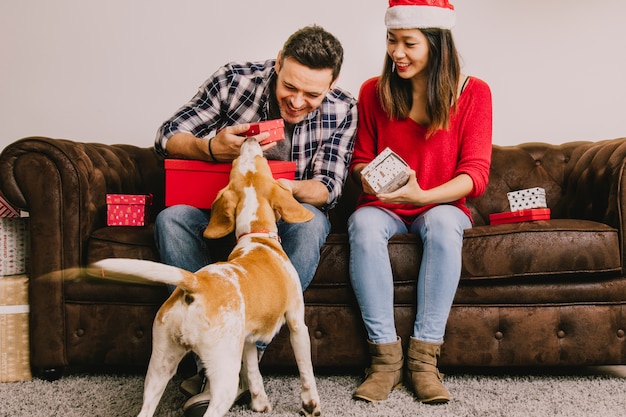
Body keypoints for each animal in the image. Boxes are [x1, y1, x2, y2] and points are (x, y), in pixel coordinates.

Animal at [95, 137, 320, 416]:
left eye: (240, 163)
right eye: (259, 161)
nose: (249, 139)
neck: (256, 236)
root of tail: (195, 283)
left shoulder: (247, 341)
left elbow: (253, 372)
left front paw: (259, 402)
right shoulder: (297, 324)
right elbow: (306, 370)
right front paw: (311, 404)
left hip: (160, 365)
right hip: (222, 374)